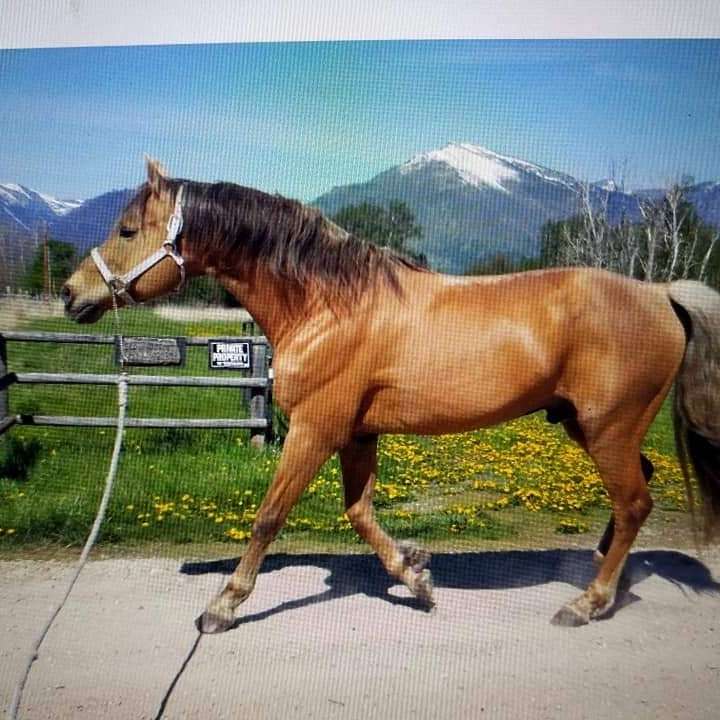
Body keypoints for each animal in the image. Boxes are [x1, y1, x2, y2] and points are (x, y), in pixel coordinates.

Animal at [62, 160, 720, 632]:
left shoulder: (317, 430)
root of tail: (661, 294)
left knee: (634, 502)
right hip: (588, 425)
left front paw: (222, 606)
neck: (328, 306)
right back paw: (604, 575)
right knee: (638, 490)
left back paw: (589, 601)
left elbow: (269, 516)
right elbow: (360, 513)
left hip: (608, 427)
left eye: (126, 230)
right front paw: (417, 577)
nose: (71, 294)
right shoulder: (357, 434)